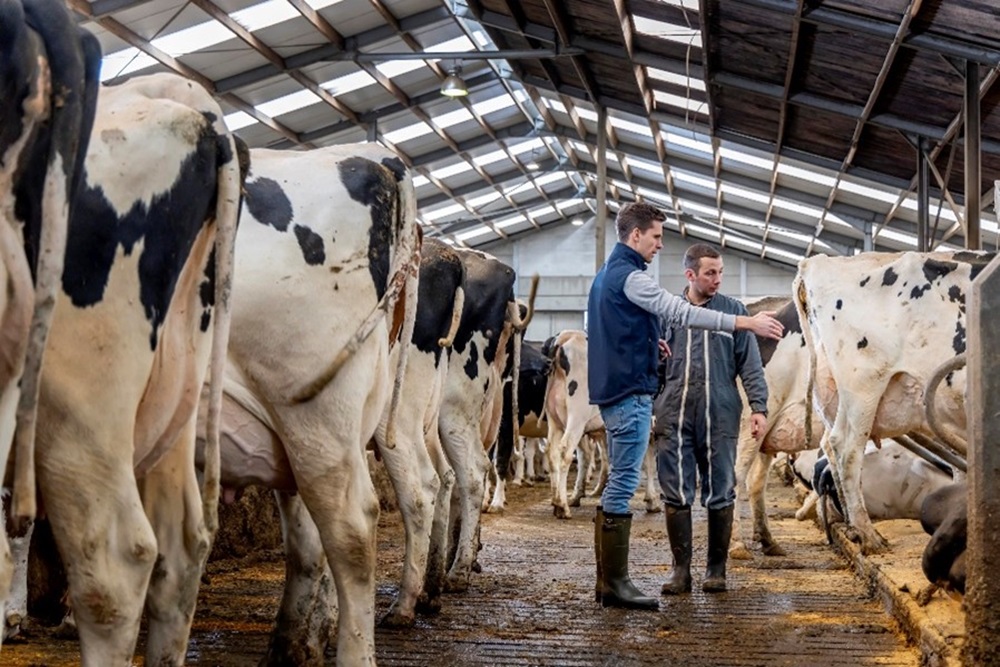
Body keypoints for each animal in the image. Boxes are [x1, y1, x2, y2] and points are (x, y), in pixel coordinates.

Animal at [788, 250, 992, 552]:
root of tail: (816, 261)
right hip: (864, 386)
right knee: (846, 448)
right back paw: (867, 534)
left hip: (836, 394)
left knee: (829, 445)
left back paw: (851, 526)